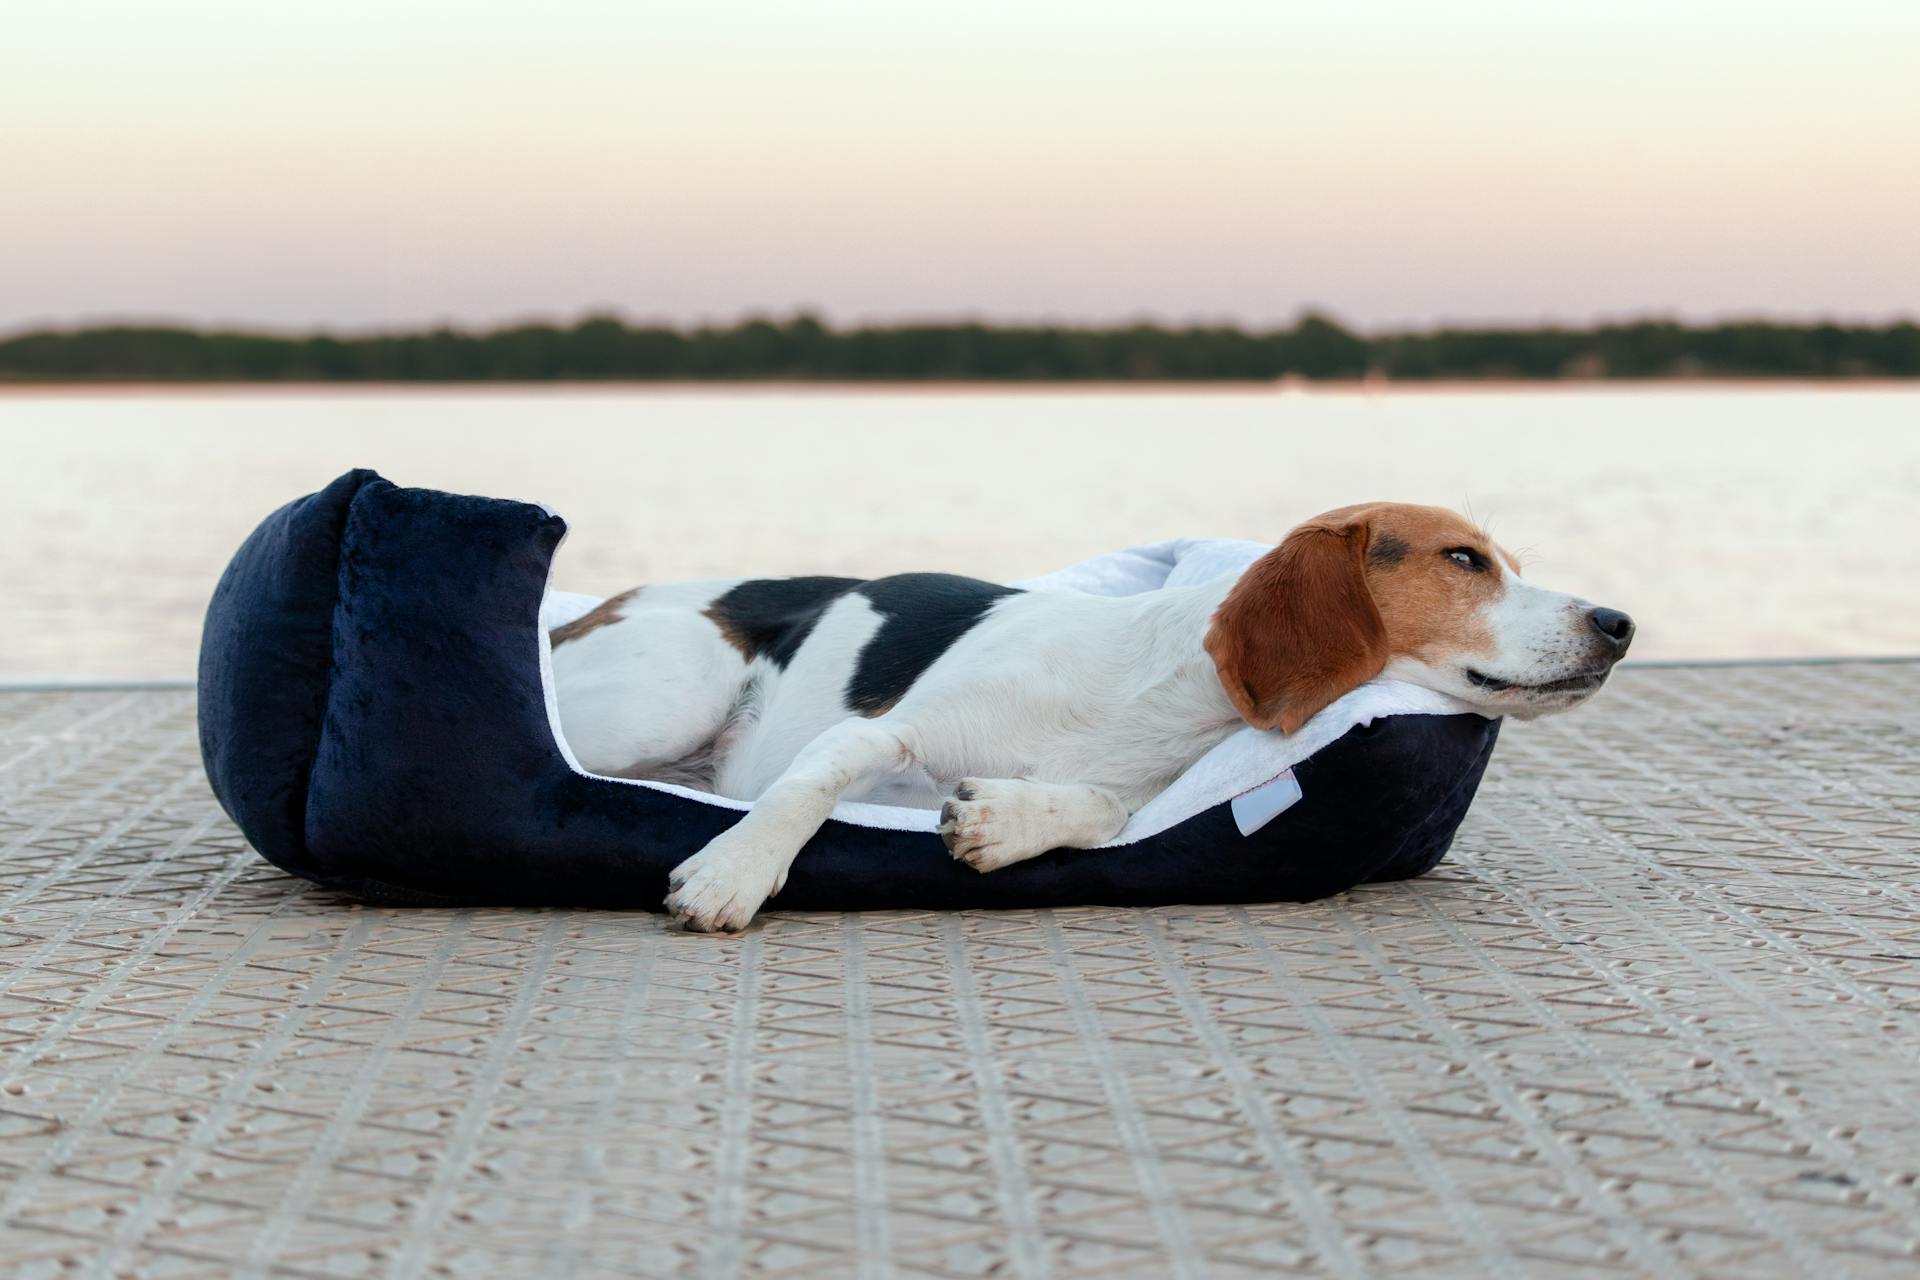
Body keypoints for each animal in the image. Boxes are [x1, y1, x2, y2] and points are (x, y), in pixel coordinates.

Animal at [545, 498, 1635, 932]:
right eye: (1464, 560)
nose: (1620, 622)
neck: (1159, 698)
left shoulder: (1137, 793)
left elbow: (1104, 810)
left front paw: (1006, 819)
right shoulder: (876, 732)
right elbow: (805, 787)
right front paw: (733, 870)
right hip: (672, 691)